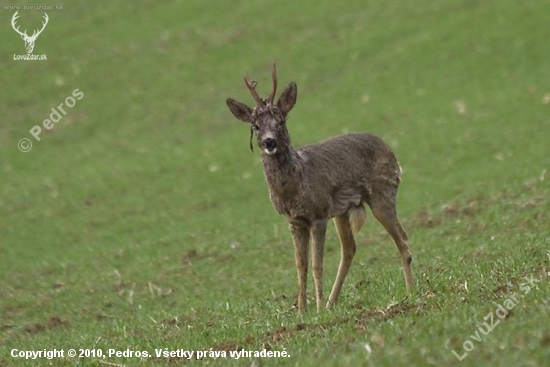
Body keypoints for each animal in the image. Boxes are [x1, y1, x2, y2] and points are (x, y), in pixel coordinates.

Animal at [225, 64, 414, 312]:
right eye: (255, 126)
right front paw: (302, 311)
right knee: (350, 249)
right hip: (343, 211)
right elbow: (300, 265)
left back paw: (411, 292)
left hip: (382, 193)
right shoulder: (295, 221)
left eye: (281, 121)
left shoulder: (318, 215)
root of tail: (393, 155)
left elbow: (316, 265)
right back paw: (332, 302)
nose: (269, 142)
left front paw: (315, 308)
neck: (294, 186)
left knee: (402, 239)